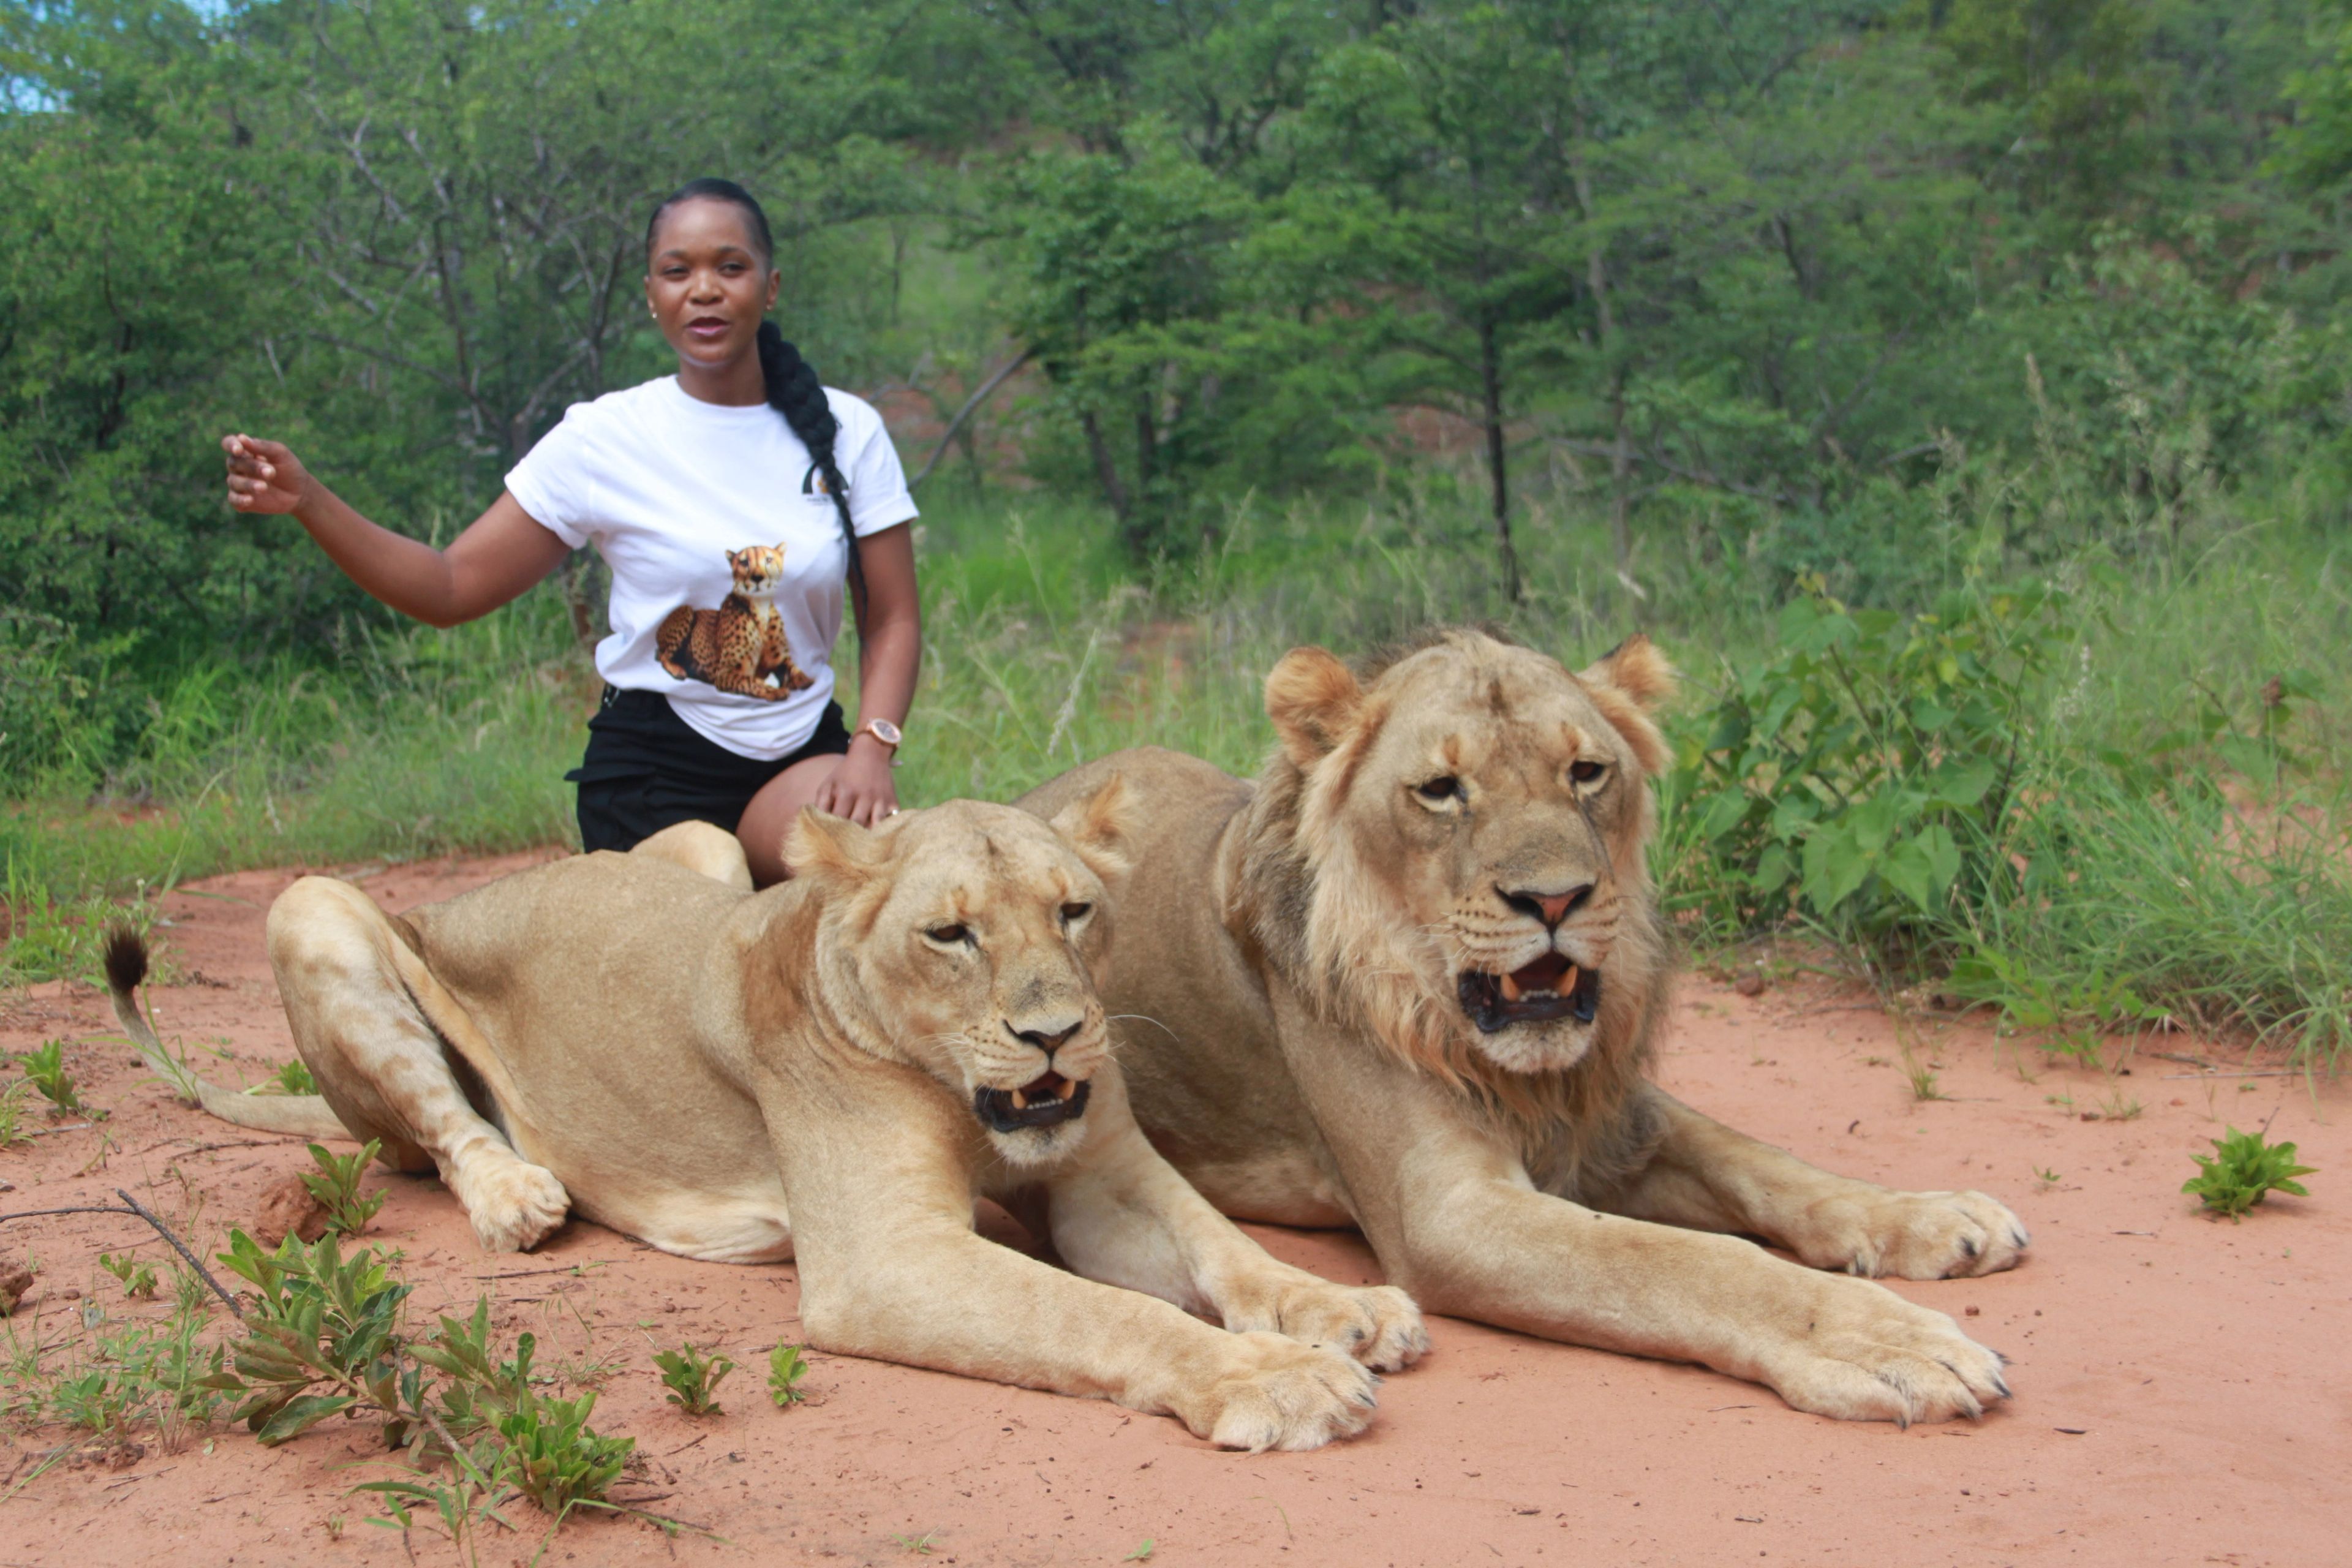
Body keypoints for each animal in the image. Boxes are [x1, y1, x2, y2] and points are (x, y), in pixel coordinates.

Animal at [107, 789, 1427, 1451]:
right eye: (951, 933)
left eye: (1075, 911)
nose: (1058, 1035)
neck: (956, 1088)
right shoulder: (883, 1257)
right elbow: (1103, 1313)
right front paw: (1280, 1380)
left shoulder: (1101, 1177)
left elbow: (1225, 1248)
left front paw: (1345, 1310)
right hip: (314, 906)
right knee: (442, 1125)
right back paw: (519, 1193)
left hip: (696, 847)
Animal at [1013, 629, 2028, 1425]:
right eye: (1440, 789)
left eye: (1587, 772)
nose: (1555, 899)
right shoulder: (1449, 1213)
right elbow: (1694, 1260)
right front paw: (1883, 1340)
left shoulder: (1612, 1117)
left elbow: (1767, 1165)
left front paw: (1935, 1216)